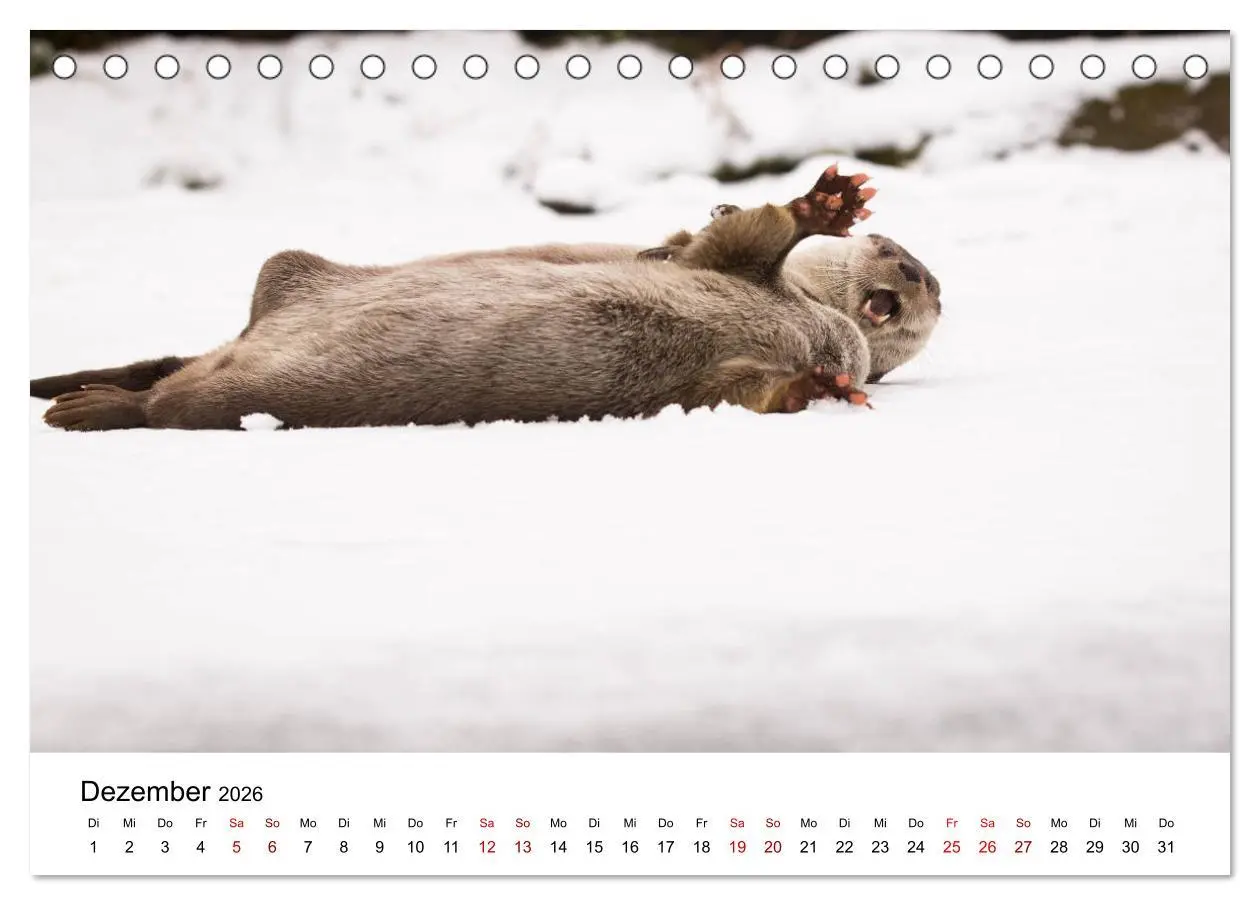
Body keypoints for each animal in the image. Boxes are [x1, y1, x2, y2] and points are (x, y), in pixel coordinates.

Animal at [31, 167, 942, 431]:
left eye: (928, 283)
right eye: (902, 258)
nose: (910, 268)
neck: (821, 320)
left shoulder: (730, 366)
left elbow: (741, 390)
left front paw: (822, 385)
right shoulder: (729, 266)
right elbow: (748, 233)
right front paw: (825, 203)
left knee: (169, 399)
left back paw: (83, 404)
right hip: (291, 275)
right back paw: (76, 399)